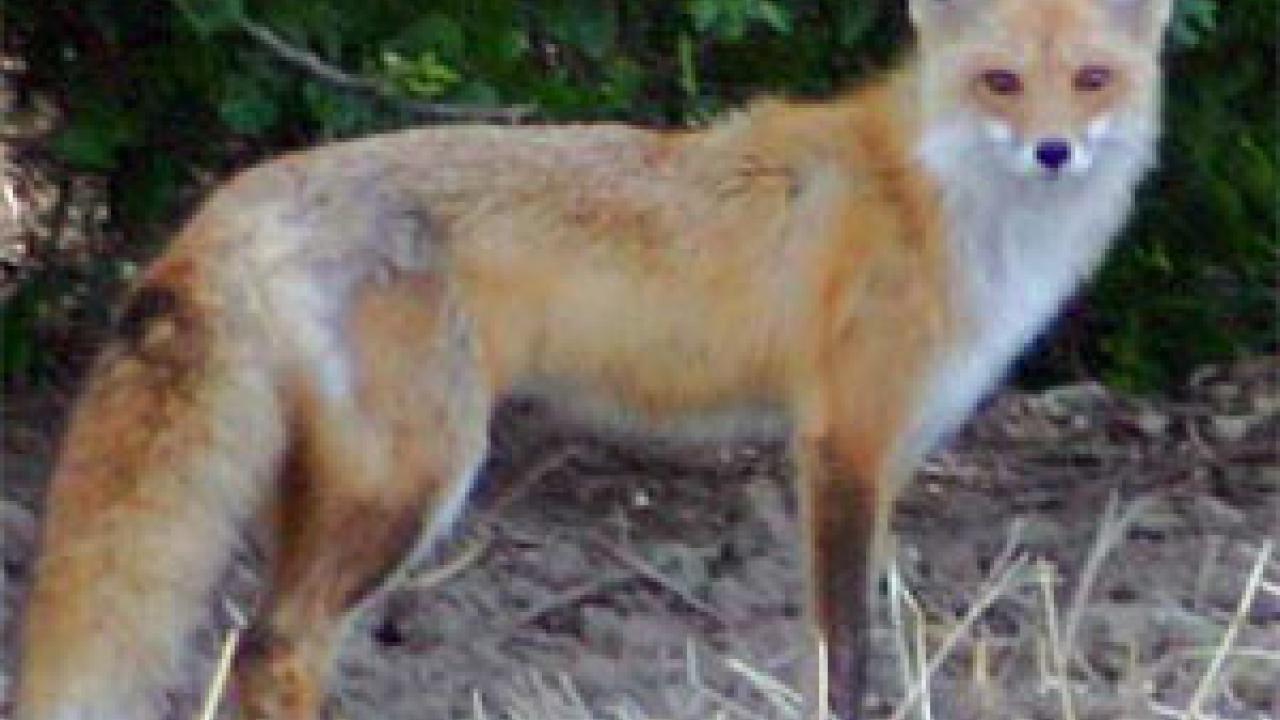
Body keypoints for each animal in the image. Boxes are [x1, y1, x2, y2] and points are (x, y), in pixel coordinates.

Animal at [13, 0, 1172, 717]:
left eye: (1091, 79)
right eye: (1000, 82)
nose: (1055, 151)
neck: (934, 196)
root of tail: (237, 196)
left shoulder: (879, 452)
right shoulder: (843, 443)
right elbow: (842, 653)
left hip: (324, 491)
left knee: (260, 647)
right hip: (414, 483)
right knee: (277, 644)